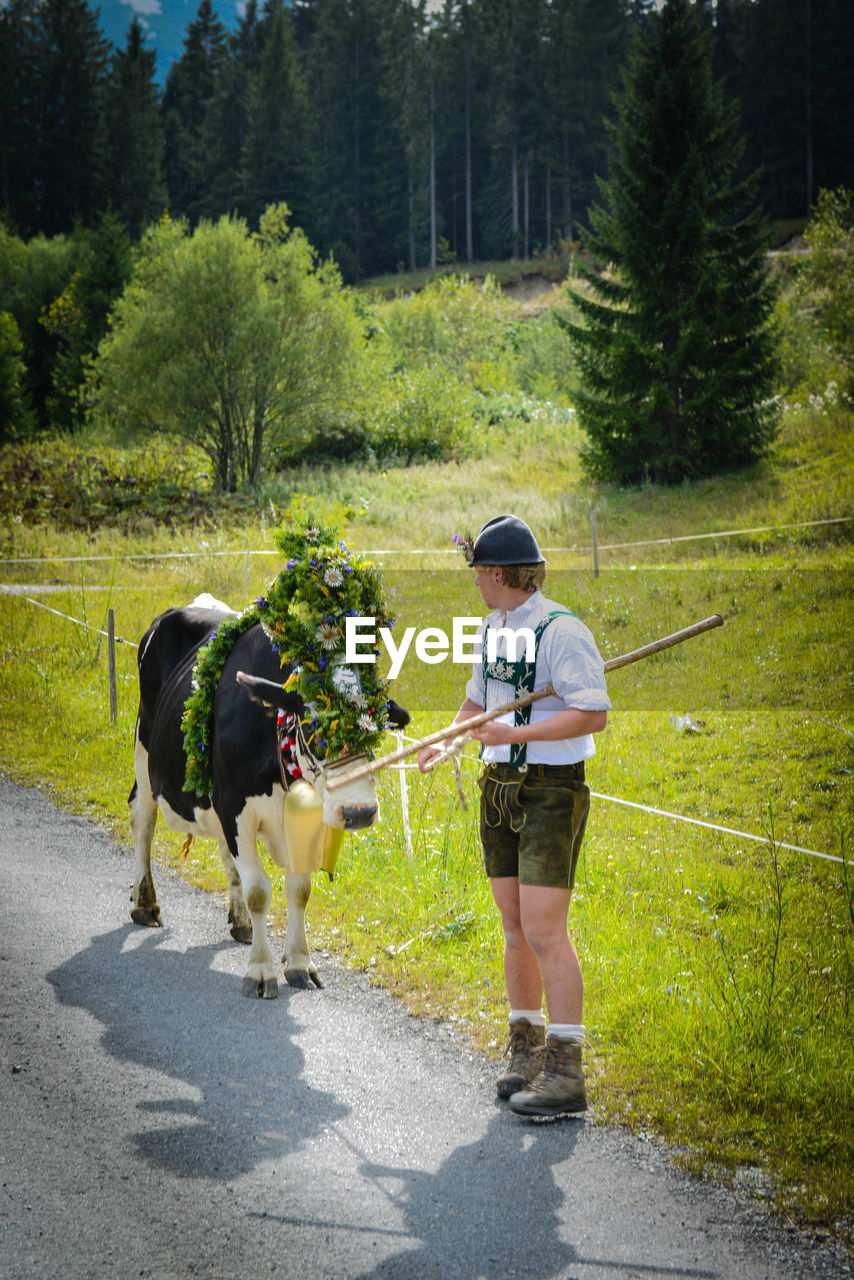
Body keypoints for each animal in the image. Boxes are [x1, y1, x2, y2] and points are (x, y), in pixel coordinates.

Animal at [126, 593, 407, 993]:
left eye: (377, 729)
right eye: (314, 726)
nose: (360, 812)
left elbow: (299, 889)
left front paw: (300, 963)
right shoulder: (233, 804)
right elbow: (258, 890)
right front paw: (260, 969)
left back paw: (241, 922)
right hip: (145, 748)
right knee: (142, 820)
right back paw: (146, 904)